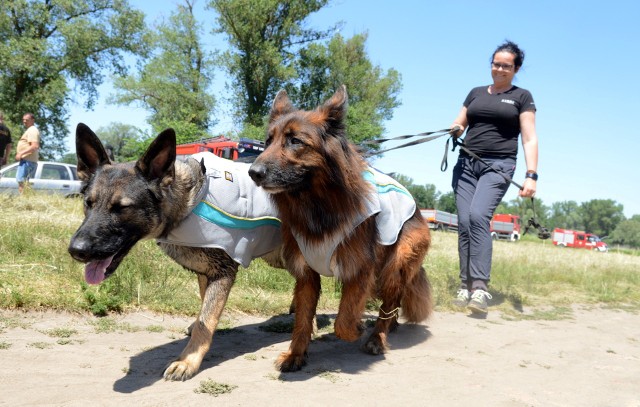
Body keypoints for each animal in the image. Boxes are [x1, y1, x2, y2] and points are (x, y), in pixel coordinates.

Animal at [67, 123, 282, 382]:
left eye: (122, 208)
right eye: (88, 203)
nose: (76, 250)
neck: (190, 201)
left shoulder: (223, 273)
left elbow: (205, 321)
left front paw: (187, 361)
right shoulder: (206, 272)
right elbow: (205, 313)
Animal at [248, 86, 432, 372]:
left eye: (295, 141)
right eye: (268, 141)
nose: (253, 172)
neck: (317, 204)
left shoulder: (360, 269)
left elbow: (343, 321)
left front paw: (356, 329)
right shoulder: (307, 273)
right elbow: (302, 320)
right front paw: (295, 355)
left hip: (396, 263)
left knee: (391, 301)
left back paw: (378, 337)